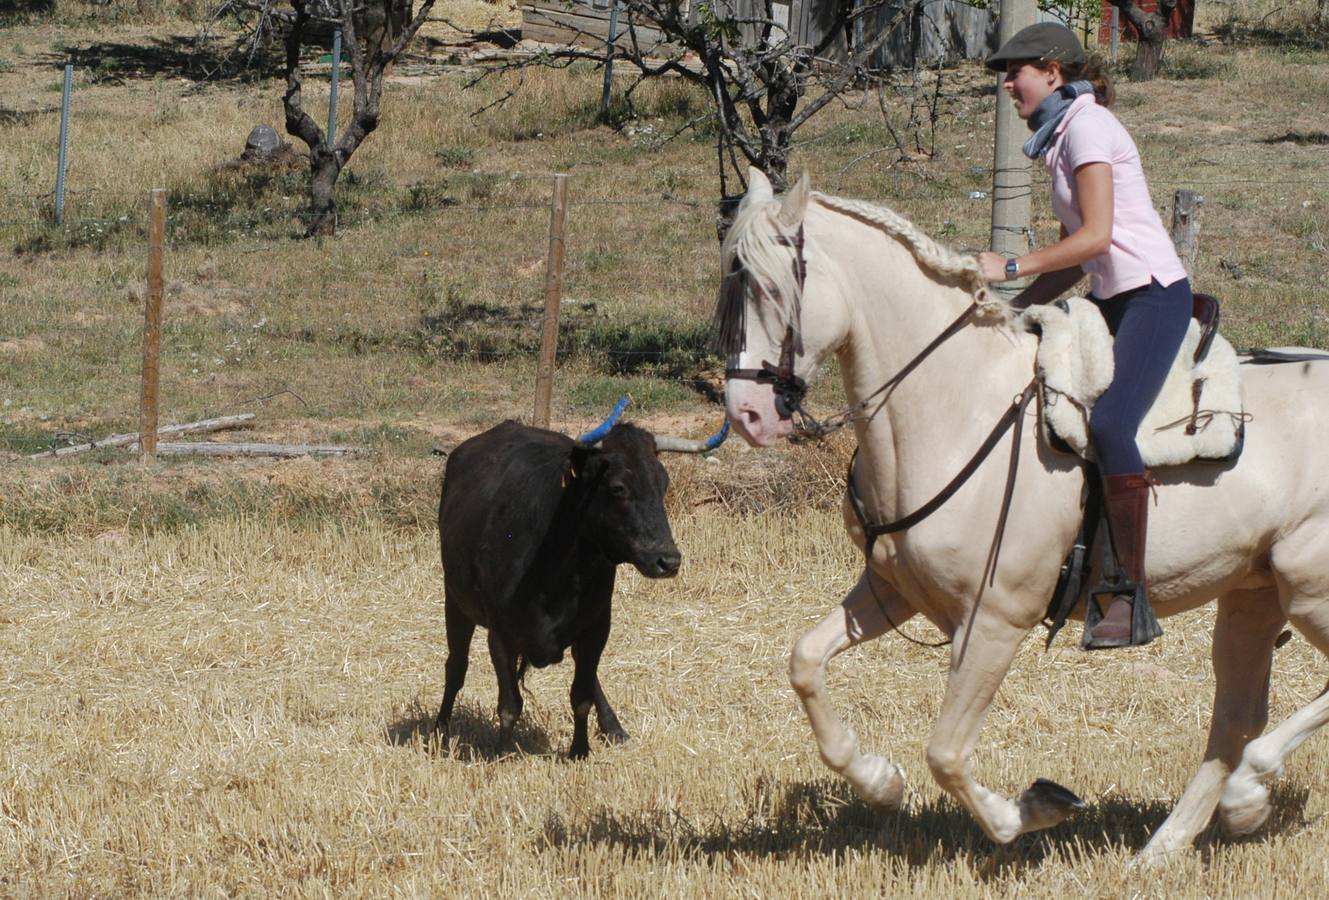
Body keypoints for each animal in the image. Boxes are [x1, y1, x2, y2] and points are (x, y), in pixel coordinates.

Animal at [435, 417, 680, 755]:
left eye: (664, 483)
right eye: (618, 488)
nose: (668, 559)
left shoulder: (596, 628)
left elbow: (582, 696)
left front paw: (580, 751)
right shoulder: (501, 633)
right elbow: (509, 704)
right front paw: (501, 754)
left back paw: (614, 728)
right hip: (455, 601)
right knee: (456, 666)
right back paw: (439, 727)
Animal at [722, 168, 1329, 861]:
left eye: (770, 287)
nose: (747, 414)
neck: (958, 404)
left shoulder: (995, 620)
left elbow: (947, 752)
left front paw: (1030, 811)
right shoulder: (892, 590)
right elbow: (805, 663)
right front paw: (879, 782)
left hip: (1309, 590)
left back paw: (1249, 787)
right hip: (1253, 596)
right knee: (1234, 718)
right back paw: (1172, 845)